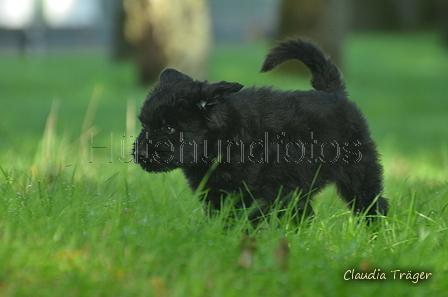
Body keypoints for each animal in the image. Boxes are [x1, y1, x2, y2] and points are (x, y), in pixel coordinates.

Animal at [134, 37, 388, 220]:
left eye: (168, 128)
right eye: (144, 124)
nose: (141, 154)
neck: (222, 140)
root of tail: (333, 92)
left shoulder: (252, 194)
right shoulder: (215, 194)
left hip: (358, 172)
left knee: (373, 203)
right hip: (298, 188)